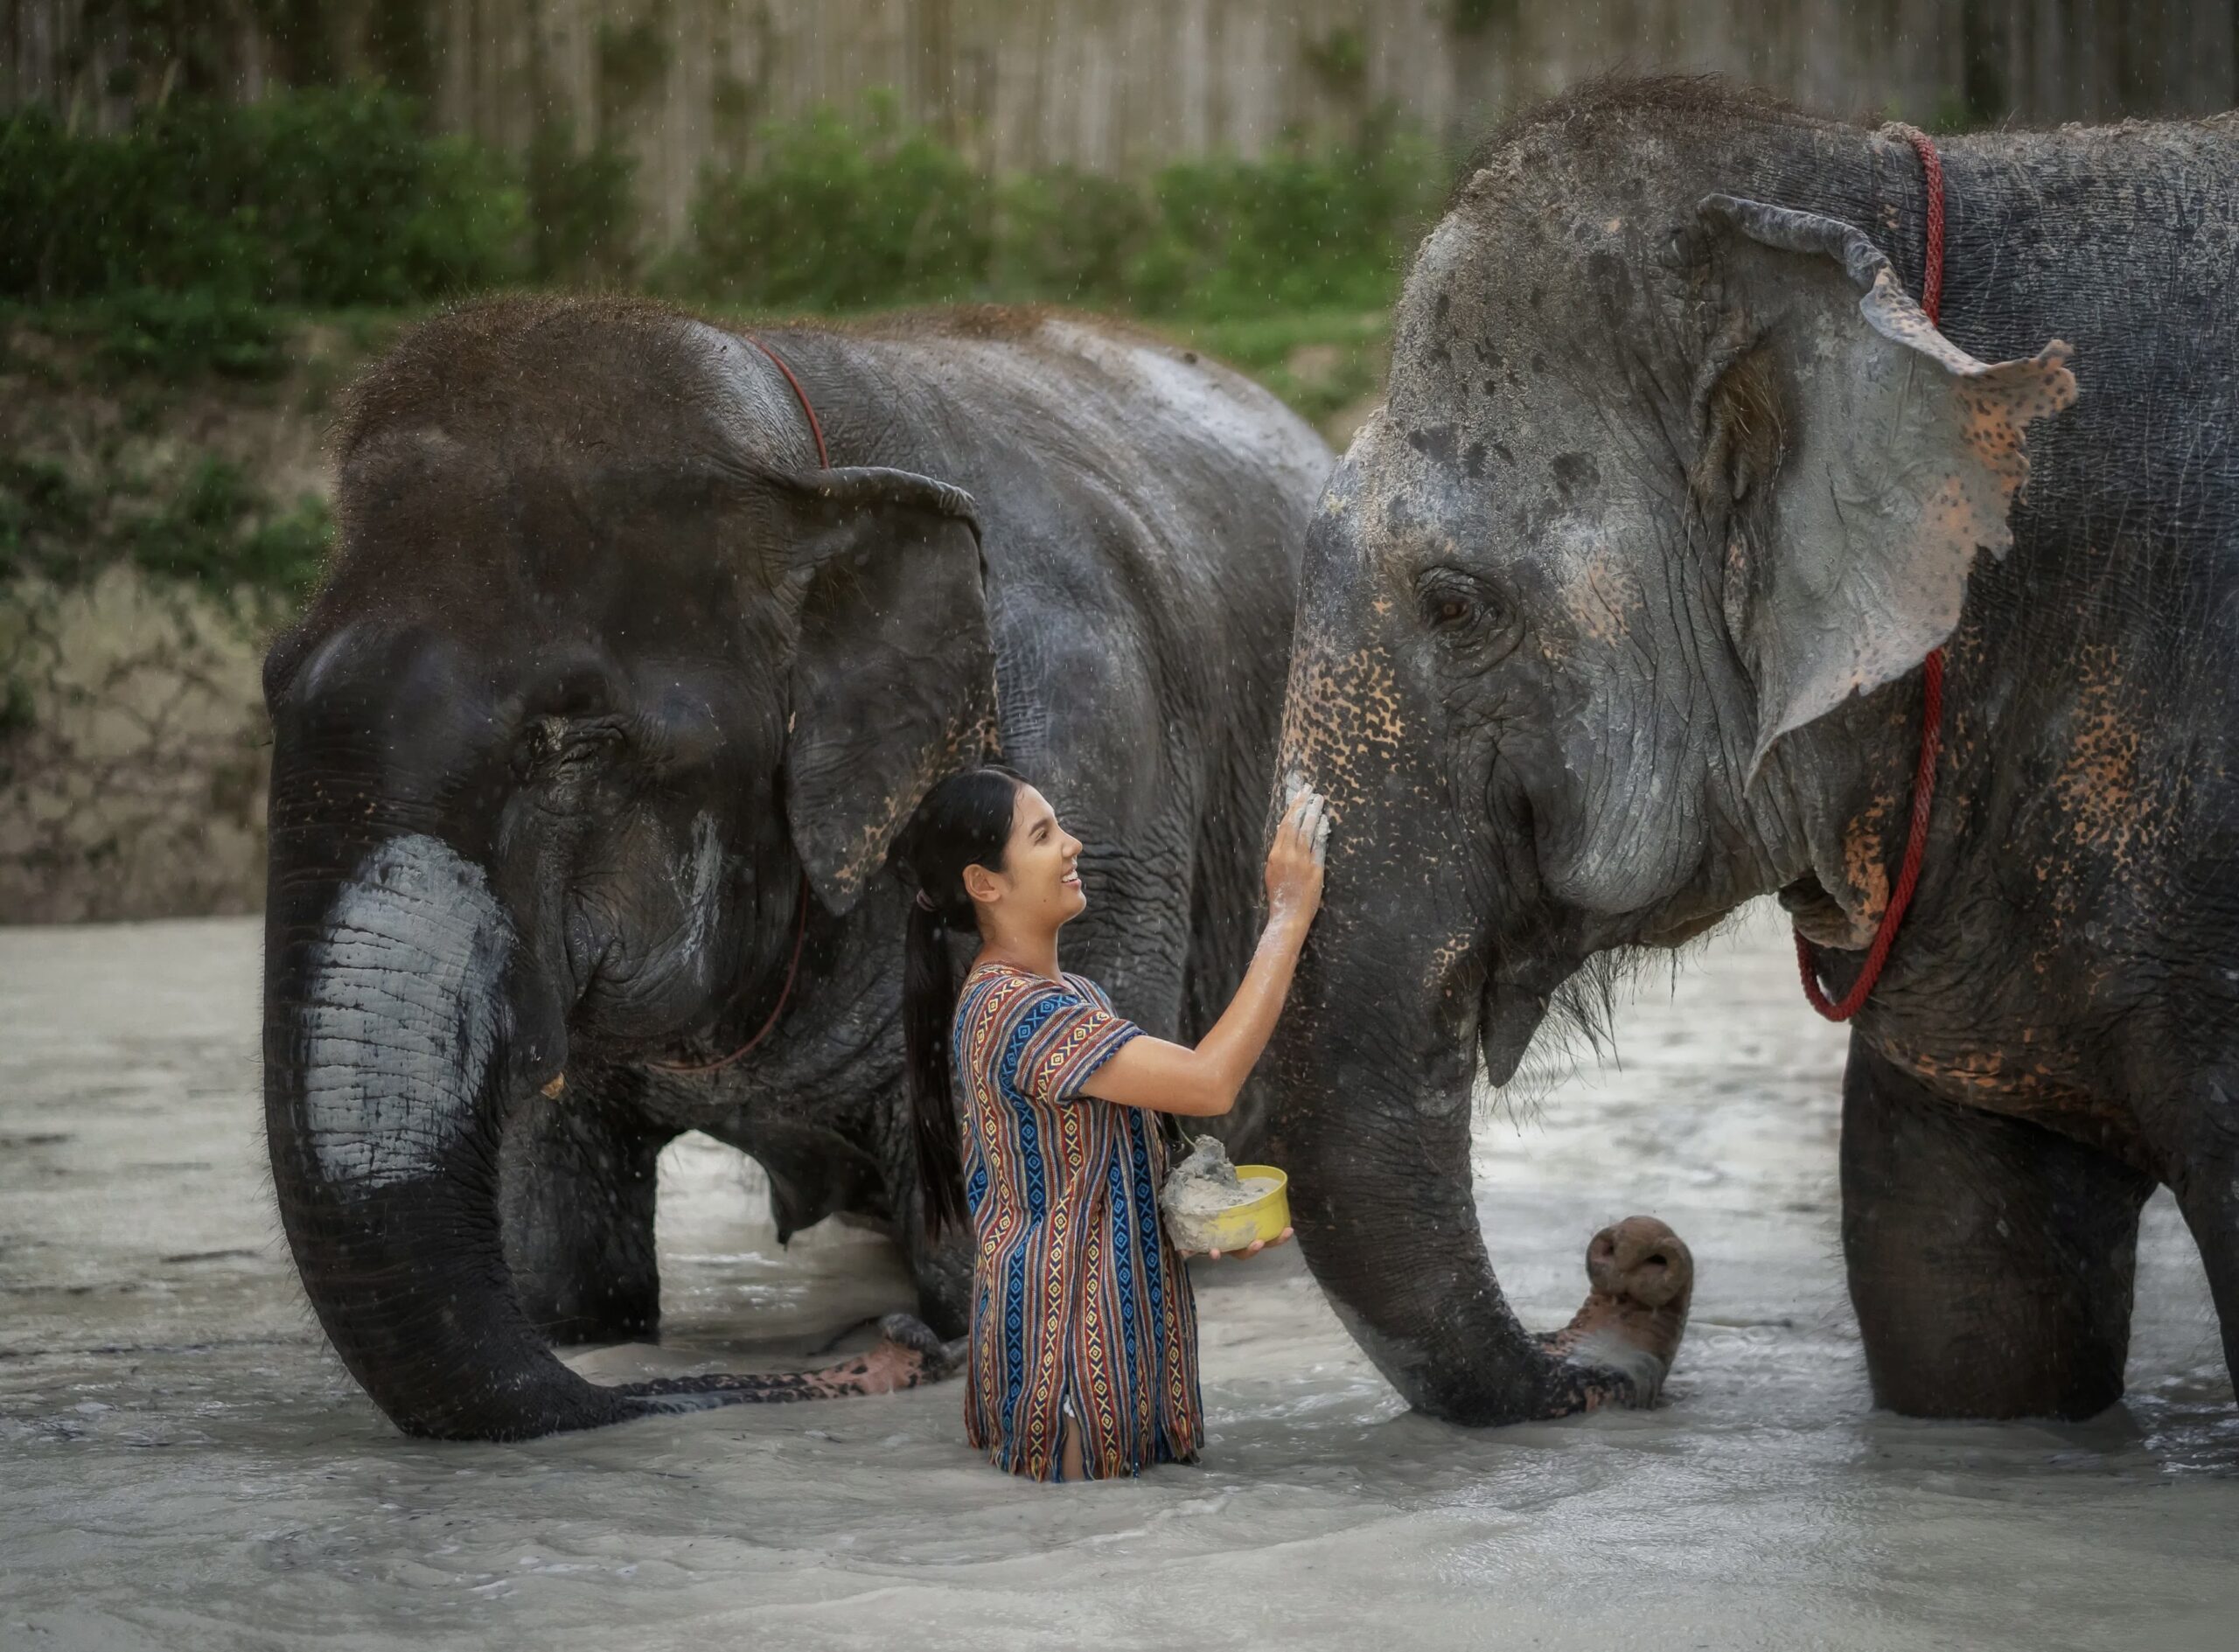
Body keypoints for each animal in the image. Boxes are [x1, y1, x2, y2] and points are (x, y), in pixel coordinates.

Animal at [261, 296, 1330, 1440]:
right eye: (273, 683)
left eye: (574, 737)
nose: (884, 1355)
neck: (789, 451)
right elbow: (566, 1270)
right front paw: (591, 1325)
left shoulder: (1097, 780)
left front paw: (938, 1323)